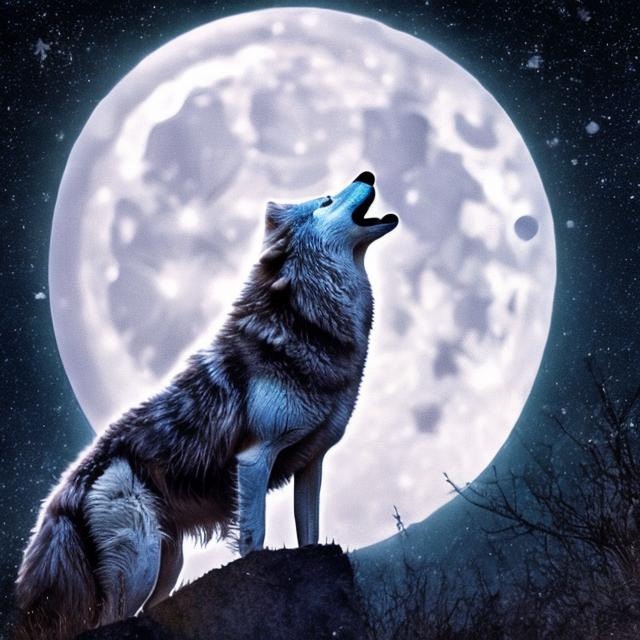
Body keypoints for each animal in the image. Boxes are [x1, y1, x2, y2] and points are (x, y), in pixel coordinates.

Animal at [14, 171, 398, 639]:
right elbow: (255, 536)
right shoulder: (254, 458)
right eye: (325, 201)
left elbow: (310, 531)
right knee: (108, 620)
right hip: (138, 565)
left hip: (168, 564)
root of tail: (66, 487)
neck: (310, 323)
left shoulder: (312, 463)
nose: (367, 174)